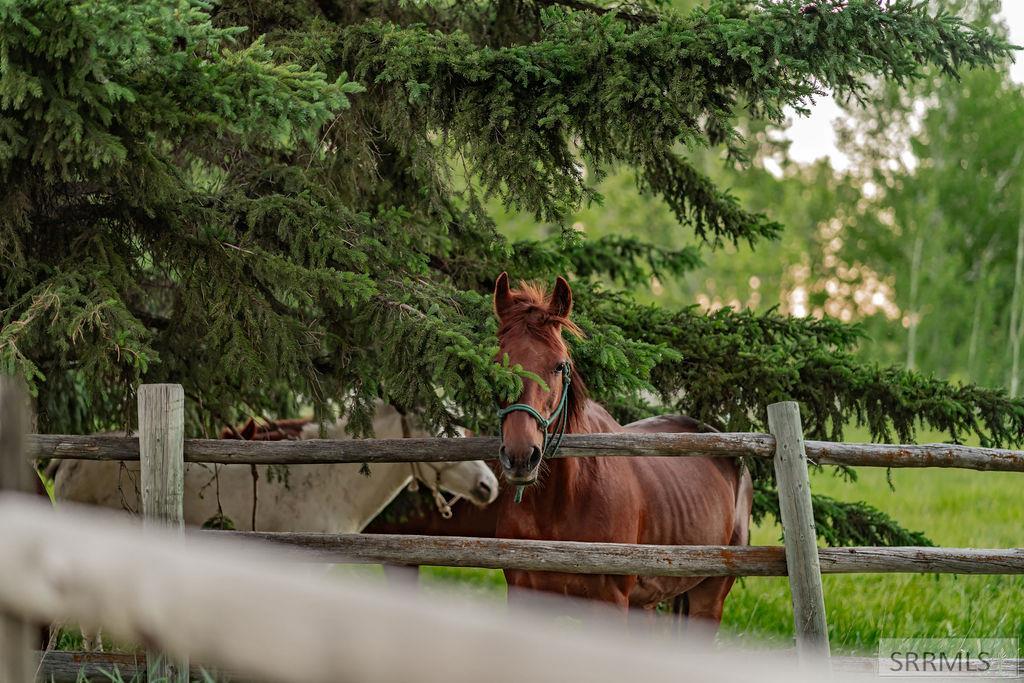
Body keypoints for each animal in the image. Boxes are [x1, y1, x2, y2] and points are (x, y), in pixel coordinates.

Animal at [491, 272, 749, 626]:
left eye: (559, 365)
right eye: (497, 362)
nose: (520, 456)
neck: (560, 502)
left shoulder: (610, 604)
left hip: (708, 600)